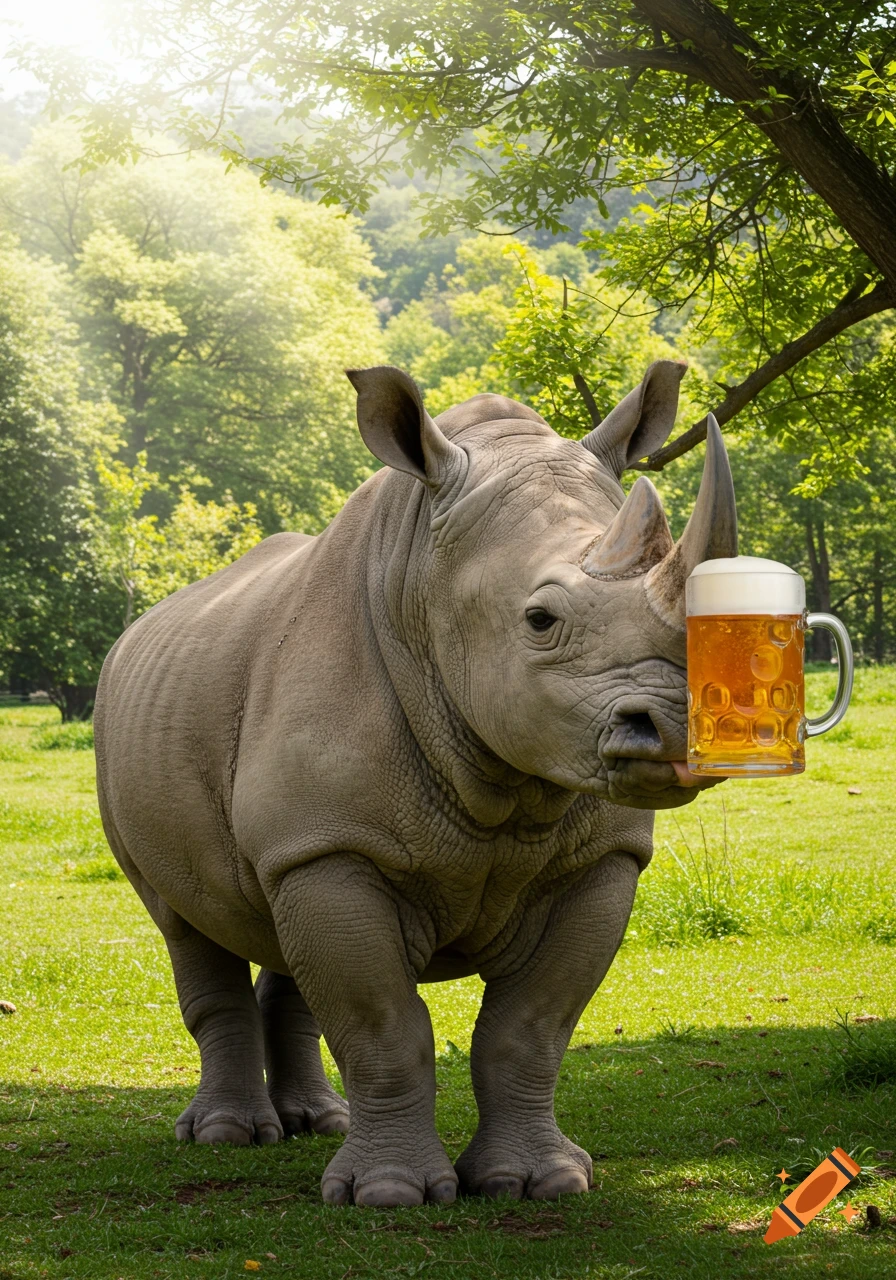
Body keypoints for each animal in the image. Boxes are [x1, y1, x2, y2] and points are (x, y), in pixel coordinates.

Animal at [94, 360, 737, 1208]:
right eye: (540, 620)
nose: (678, 729)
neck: (425, 582)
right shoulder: (333, 847)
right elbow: (382, 1026)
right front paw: (389, 1194)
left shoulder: (600, 859)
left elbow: (531, 1028)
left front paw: (541, 1182)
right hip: (129, 742)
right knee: (185, 922)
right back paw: (228, 1136)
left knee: (274, 923)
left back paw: (318, 1122)